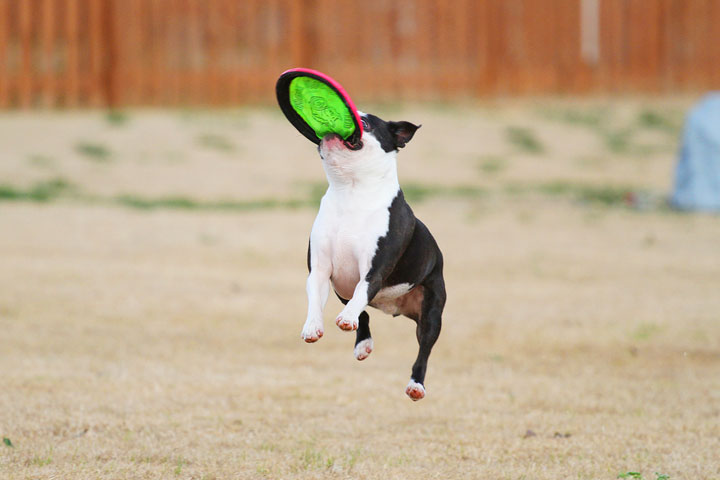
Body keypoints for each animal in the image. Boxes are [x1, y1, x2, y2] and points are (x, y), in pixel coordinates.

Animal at [298, 112, 444, 402]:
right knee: (362, 313)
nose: (333, 123)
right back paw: (362, 344)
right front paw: (312, 327)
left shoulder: (374, 271)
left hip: (432, 310)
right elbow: (317, 299)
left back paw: (416, 385)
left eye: (364, 123)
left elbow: (363, 290)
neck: (351, 191)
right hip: (342, 286)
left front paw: (344, 319)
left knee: (424, 348)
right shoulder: (320, 270)